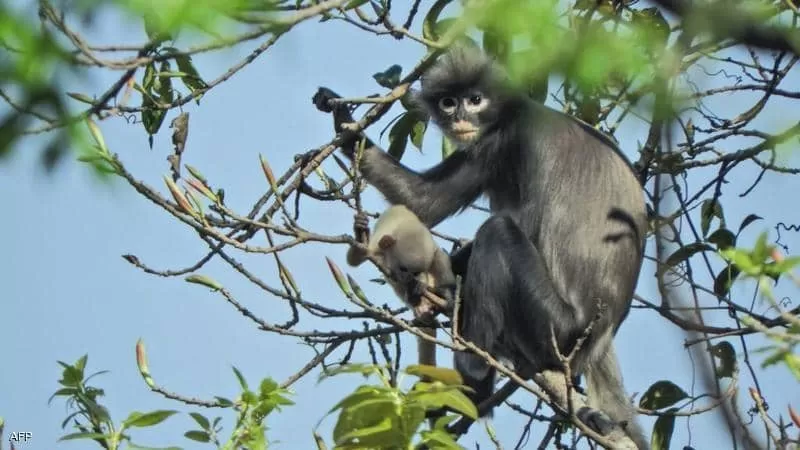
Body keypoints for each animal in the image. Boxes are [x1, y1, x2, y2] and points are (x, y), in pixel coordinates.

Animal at [346, 206, 456, 368]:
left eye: (415, 272)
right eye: (403, 268)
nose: (409, 278)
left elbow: (437, 257)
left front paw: (422, 285)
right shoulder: (378, 244)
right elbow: (356, 258)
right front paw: (360, 233)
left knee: (439, 259)